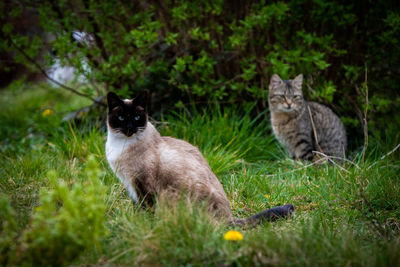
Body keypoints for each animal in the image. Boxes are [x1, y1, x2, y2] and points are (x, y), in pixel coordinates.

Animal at [106, 91, 294, 226]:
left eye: (136, 118)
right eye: (121, 118)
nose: (129, 128)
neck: (121, 145)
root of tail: (228, 219)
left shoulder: (142, 185)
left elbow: (146, 209)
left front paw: (146, 226)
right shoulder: (130, 185)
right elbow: (137, 208)